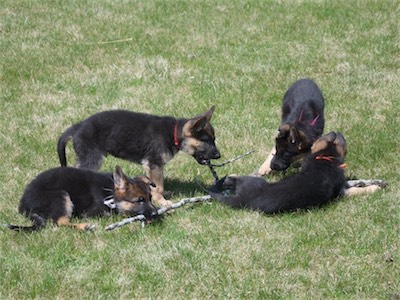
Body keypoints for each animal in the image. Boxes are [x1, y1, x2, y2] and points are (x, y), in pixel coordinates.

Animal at [7, 165, 158, 231]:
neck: (110, 192)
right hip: (60, 195)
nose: (156, 214)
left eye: (150, 198)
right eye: (139, 200)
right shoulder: (92, 212)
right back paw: (84, 226)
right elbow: (111, 214)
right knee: (59, 222)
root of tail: (23, 205)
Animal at [57, 105, 222, 206]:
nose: (219, 155)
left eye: (214, 139)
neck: (174, 133)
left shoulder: (155, 166)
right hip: (92, 159)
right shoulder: (153, 163)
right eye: (207, 140)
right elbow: (159, 185)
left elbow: (158, 184)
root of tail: (77, 127)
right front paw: (161, 201)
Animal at [208, 132, 382, 213]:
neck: (325, 158)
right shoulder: (339, 192)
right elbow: (356, 190)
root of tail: (242, 198)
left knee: (232, 179)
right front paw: (375, 187)